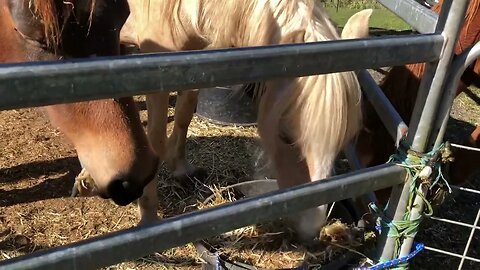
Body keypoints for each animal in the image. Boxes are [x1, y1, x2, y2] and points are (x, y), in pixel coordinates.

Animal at [119, 0, 372, 240]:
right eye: (286, 137)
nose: (311, 227)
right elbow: (155, 138)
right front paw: (149, 215)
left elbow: (184, 115)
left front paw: (181, 169)